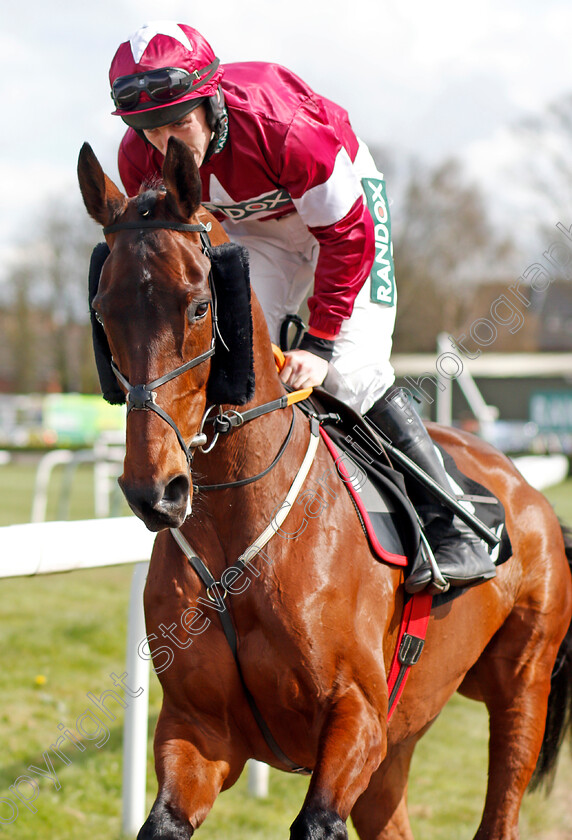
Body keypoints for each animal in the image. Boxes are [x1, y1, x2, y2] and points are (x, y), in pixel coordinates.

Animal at [77, 139, 572, 840]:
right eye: (103, 312)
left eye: (199, 305)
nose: (157, 491)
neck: (237, 543)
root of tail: (524, 487)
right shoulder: (196, 731)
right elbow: (165, 819)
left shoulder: (357, 717)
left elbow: (315, 819)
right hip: (401, 741)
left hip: (522, 688)